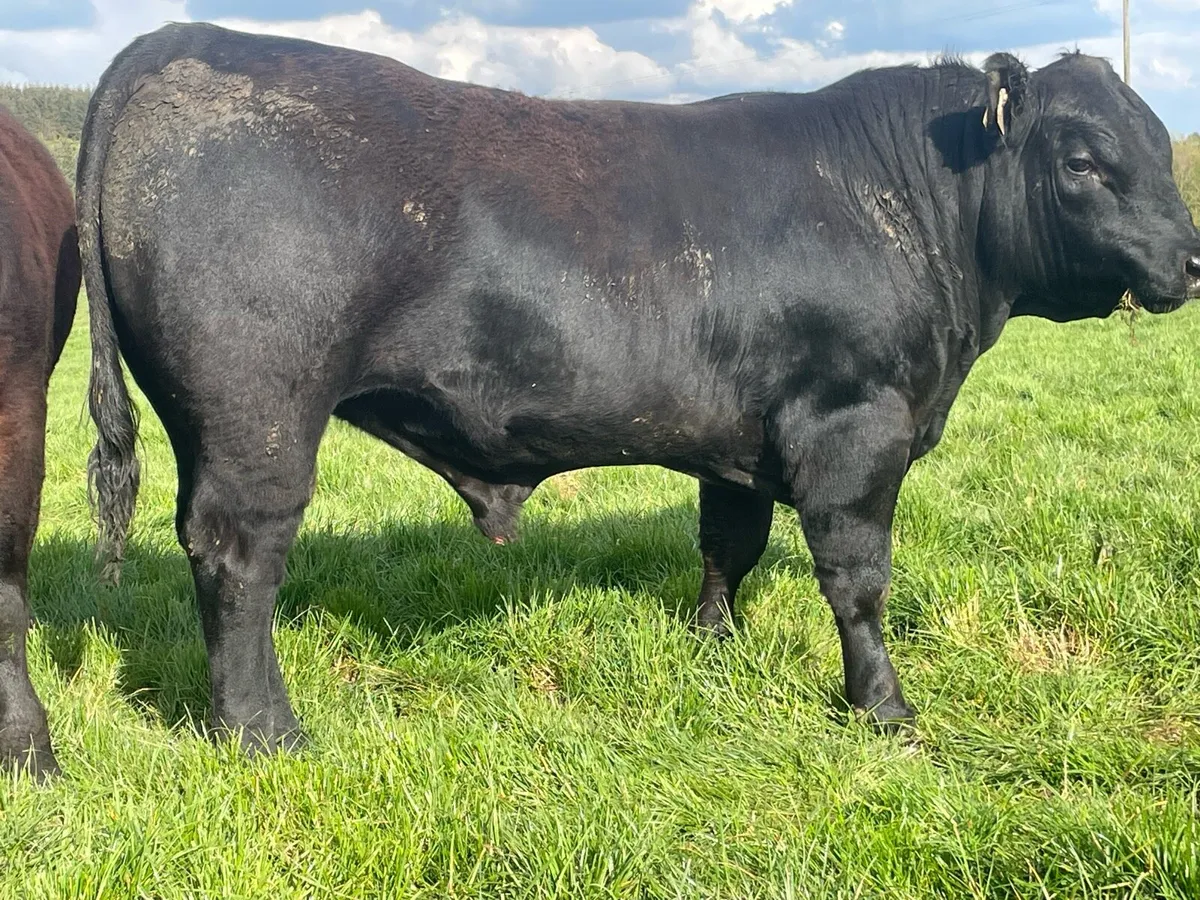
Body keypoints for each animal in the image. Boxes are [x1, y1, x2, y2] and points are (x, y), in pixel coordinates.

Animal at [75, 22, 1200, 759]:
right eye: (1084, 161)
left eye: (1159, 147)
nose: (1192, 260)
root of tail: (183, 39)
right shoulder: (854, 426)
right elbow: (859, 581)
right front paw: (883, 709)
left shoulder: (742, 436)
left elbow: (729, 545)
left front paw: (713, 648)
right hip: (262, 417)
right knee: (239, 558)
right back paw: (265, 732)